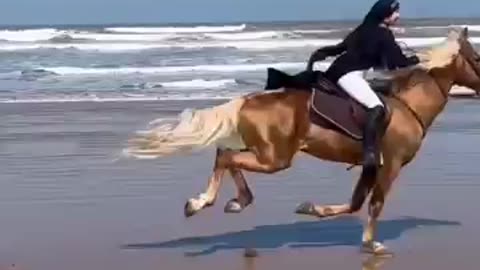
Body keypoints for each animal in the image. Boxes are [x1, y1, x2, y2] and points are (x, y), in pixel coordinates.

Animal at [123, 28, 480, 255]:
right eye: (476, 56)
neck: (407, 105)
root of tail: (246, 100)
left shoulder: (371, 165)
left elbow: (355, 203)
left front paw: (311, 208)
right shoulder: (389, 165)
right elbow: (374, 204)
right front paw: (371, 243)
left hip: (264, 151)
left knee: (224, 152)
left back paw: (234, 201)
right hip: (275, 158)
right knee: (227, 158)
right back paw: (204, 202)